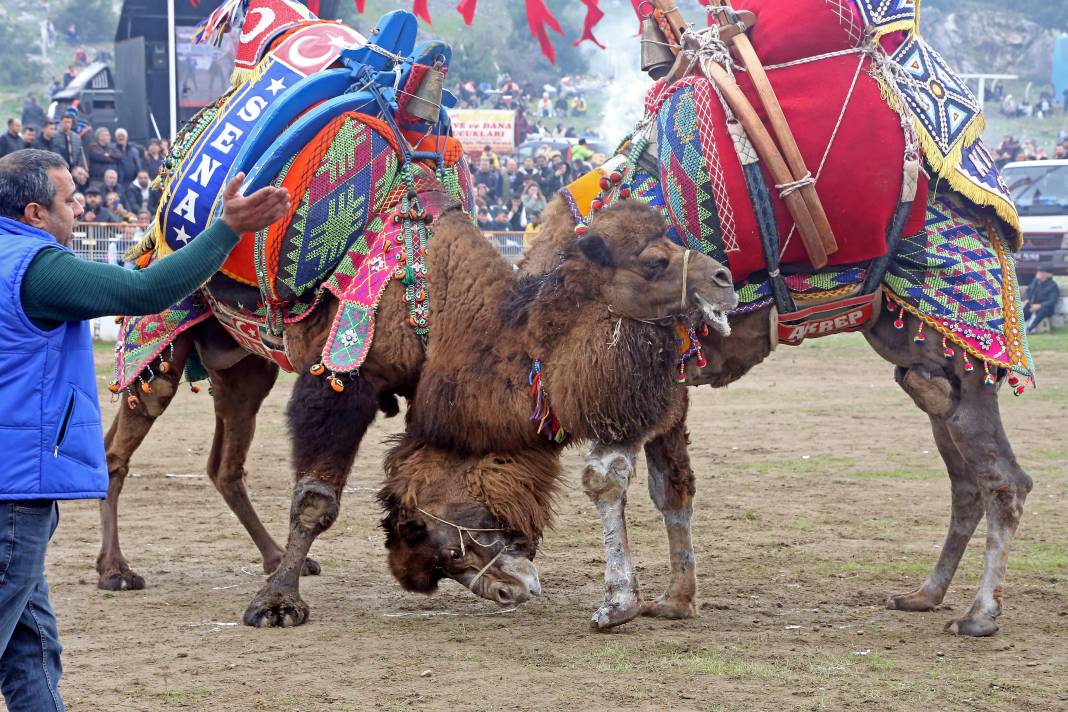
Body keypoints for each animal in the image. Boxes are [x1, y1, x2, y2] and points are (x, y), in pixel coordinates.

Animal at [100, 197, 739, 627]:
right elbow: (316, 500)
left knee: (225, 465)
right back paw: (116, 570)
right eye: (654, 262)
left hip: (244, 368)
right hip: (162, 336)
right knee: (117, 448)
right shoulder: (343, 376)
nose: (724, 278)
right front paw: (276, 606)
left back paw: (279, 559)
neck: (443, 305)